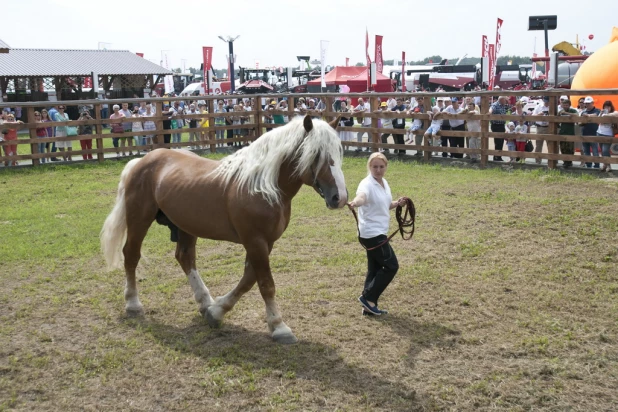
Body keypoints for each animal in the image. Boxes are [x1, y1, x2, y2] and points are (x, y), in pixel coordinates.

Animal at [98, 114, 344, 342]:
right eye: (316, 154)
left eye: (338, 152)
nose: (339, 197)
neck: (262, 186)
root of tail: (142, 160)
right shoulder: (255, 241)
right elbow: (265, 283)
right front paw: (279, 327)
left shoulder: (265, 242)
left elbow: (248, 280)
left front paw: (216, 312)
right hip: (139, 218)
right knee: (131, 255)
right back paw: (133, 304)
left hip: (186, 225)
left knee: (185, 257)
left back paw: (205, 302)